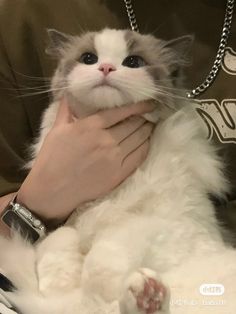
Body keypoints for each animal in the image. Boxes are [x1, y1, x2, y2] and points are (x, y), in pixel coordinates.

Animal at [0, 28, 236, 314]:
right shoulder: (63, 231)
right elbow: (58, 249)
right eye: (89, 58)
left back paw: (147, 293)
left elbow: (103, 257)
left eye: (133, 62)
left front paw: (104, 285)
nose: (106, 68)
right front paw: (63, 283)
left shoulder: (157, 225)